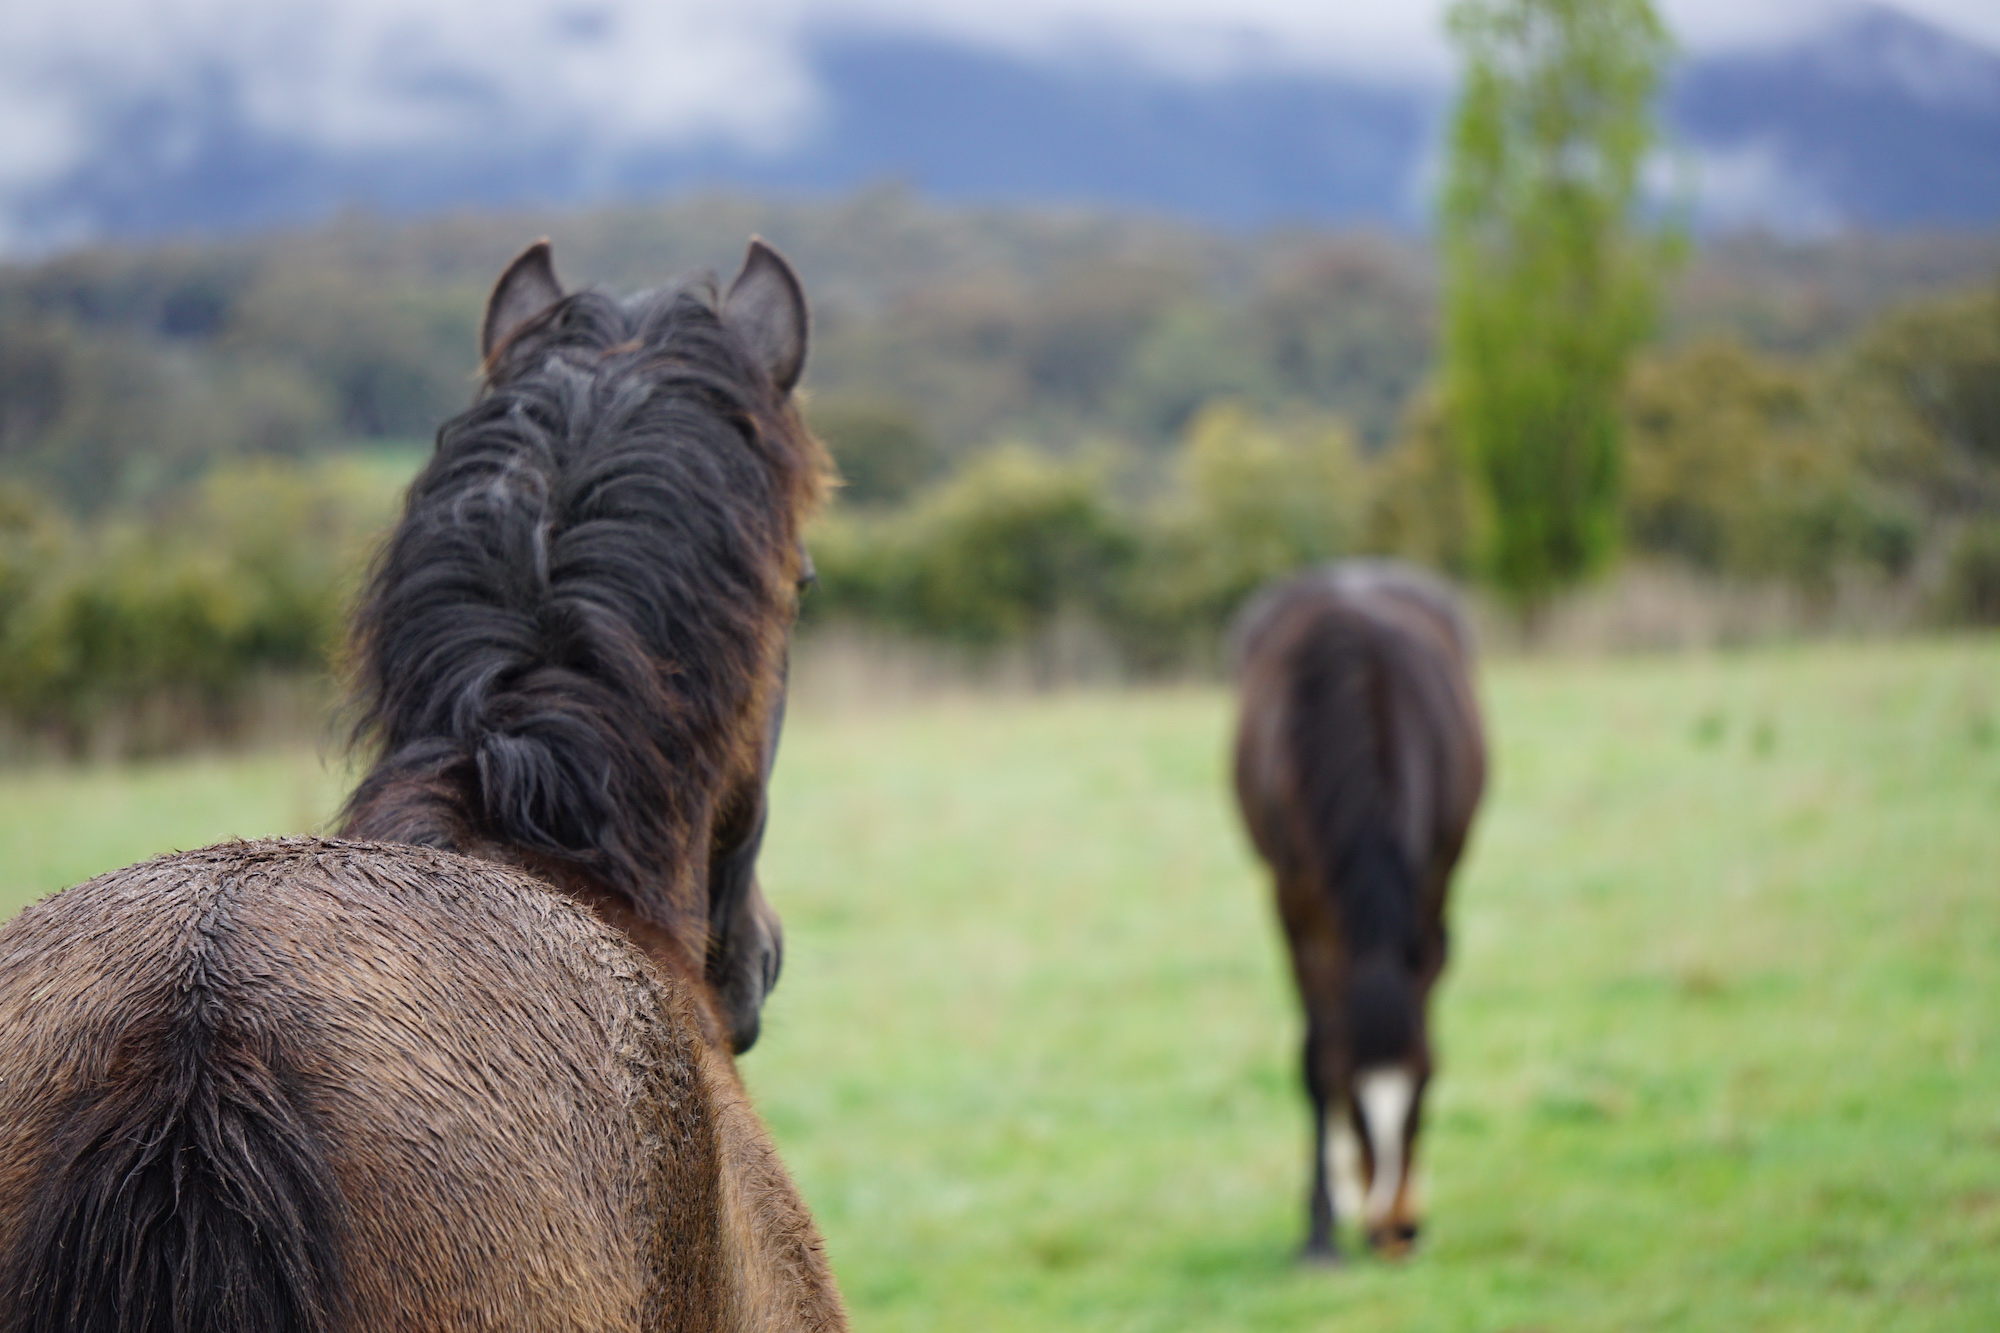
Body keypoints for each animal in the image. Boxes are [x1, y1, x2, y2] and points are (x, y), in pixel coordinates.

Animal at [1232, 556, 1488, 1256]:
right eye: (1354, 1089)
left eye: (1425, 1084)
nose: (1395, 1232)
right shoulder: (1293, 907)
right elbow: (1318, 1057)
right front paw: (1320, 1230)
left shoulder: (1432, 897)